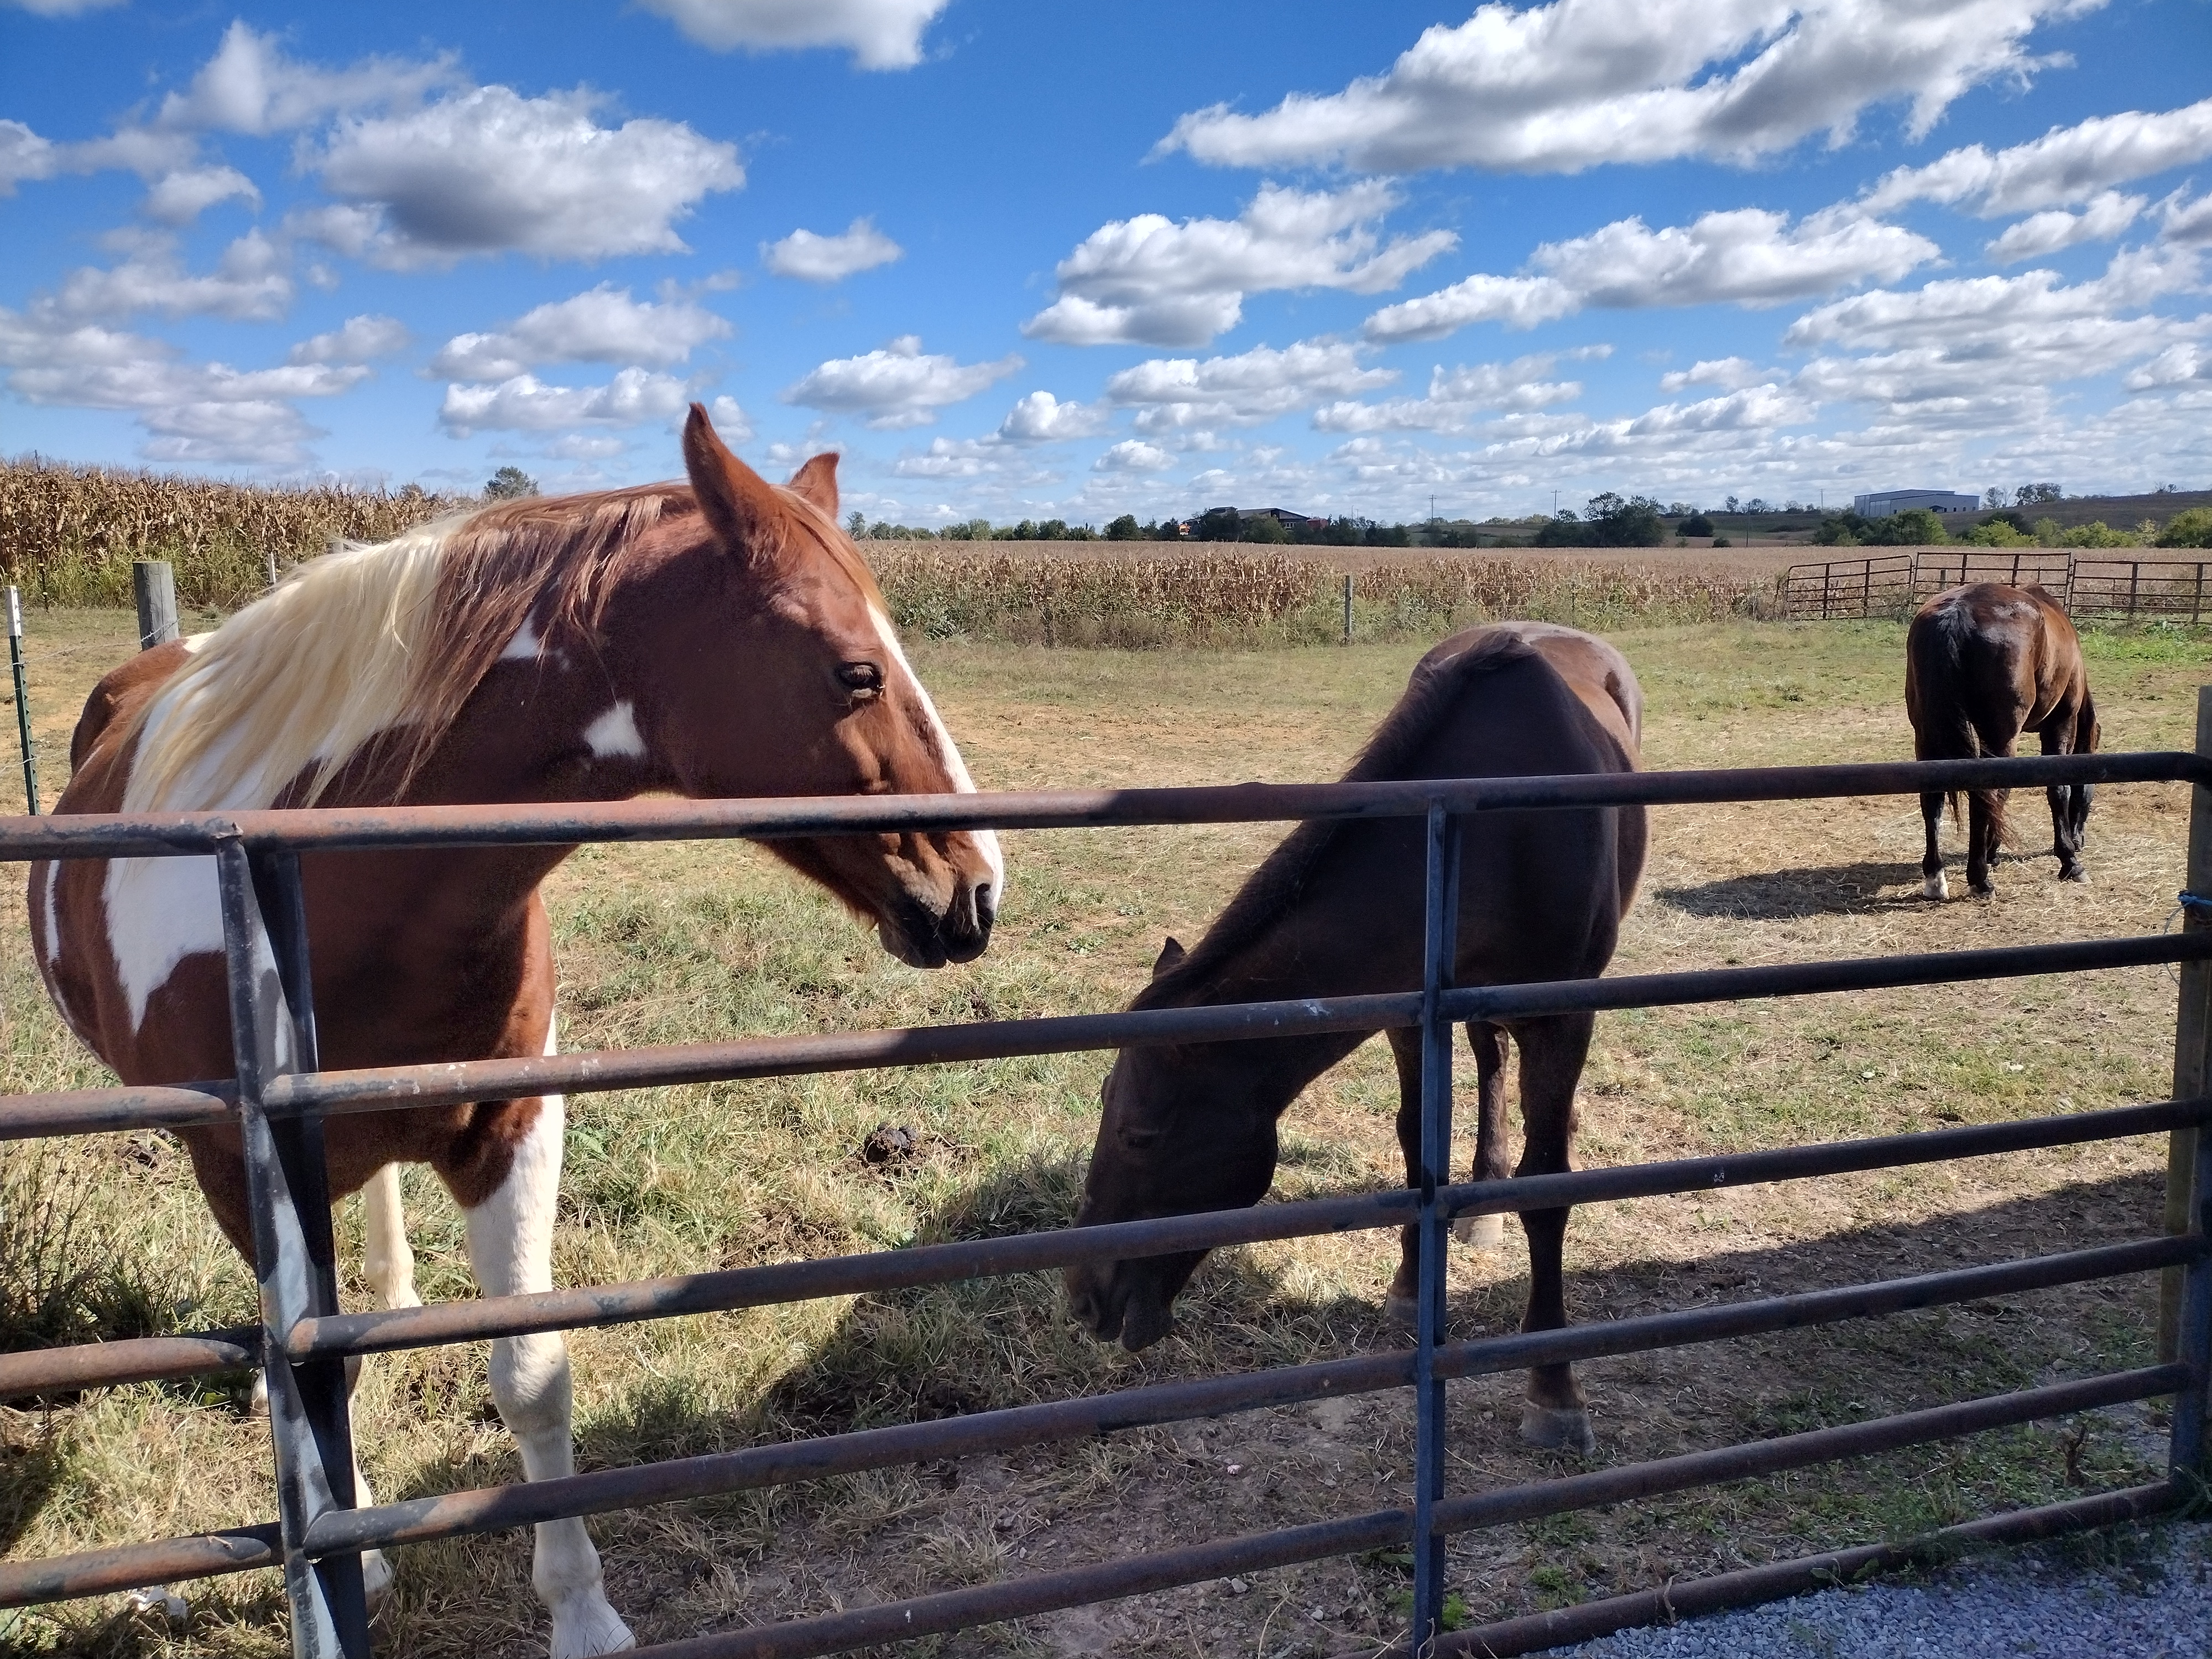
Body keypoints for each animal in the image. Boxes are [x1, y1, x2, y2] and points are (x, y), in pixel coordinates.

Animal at [26, 406, 1003, 1657]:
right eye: (855, 670)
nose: (976, 890)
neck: (346, 894)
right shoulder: (240, 1165)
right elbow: (317, 1378)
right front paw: (357, 1566)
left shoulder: (513, 1125)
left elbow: (533, 1373)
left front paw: (582, 1614)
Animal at [1064, 622, 1644, 1454]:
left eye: (1140, 1135)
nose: (1083, 1298)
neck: (1491, 831)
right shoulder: (1408, 1012)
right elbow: (1415, 1143)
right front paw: (1410, 1290)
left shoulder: (1561, 1021)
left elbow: (1549, 1191)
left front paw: (1554, 1389)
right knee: (1491, 1065)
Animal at [1904, 581, 2098, 899]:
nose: (2081, 840)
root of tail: (1956, 614)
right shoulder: (2061, 724)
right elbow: (2058, 789)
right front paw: (2069, 860)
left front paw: (1992, 852)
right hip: (2001, 734)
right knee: (1984, 793)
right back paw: (1979, 879)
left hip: (1927, 734)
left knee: (1934, 798)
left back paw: (1936, 878)